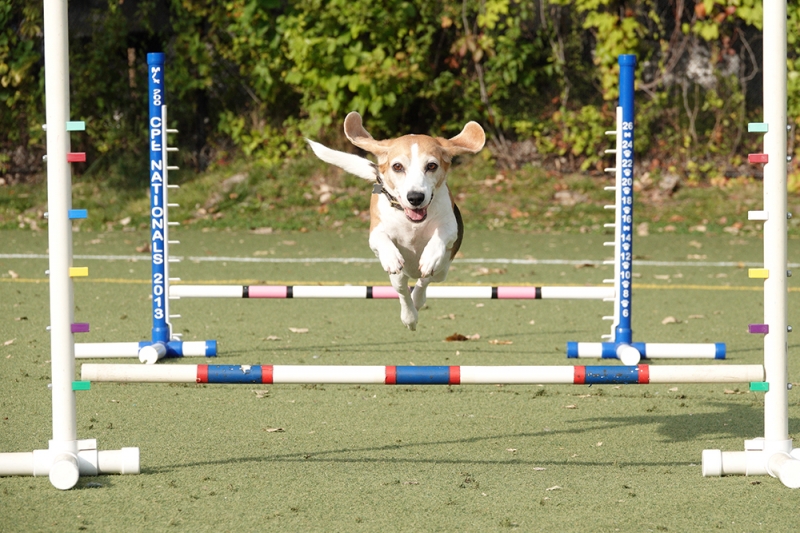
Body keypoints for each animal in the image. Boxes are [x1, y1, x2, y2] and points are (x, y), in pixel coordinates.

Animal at [306, 111, 484, 328]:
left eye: (431, 166)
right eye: (397, 166)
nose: (415, 197)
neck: (411, 222)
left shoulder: (451, 226)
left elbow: (441, 234)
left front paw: (430, 255)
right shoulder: (375, 233)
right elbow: (381, 239)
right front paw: (391, 256)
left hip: (442, 270)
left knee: (423, 282)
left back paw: (417, 299)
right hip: (399, 275)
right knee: (401, 287)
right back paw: (410, 316)